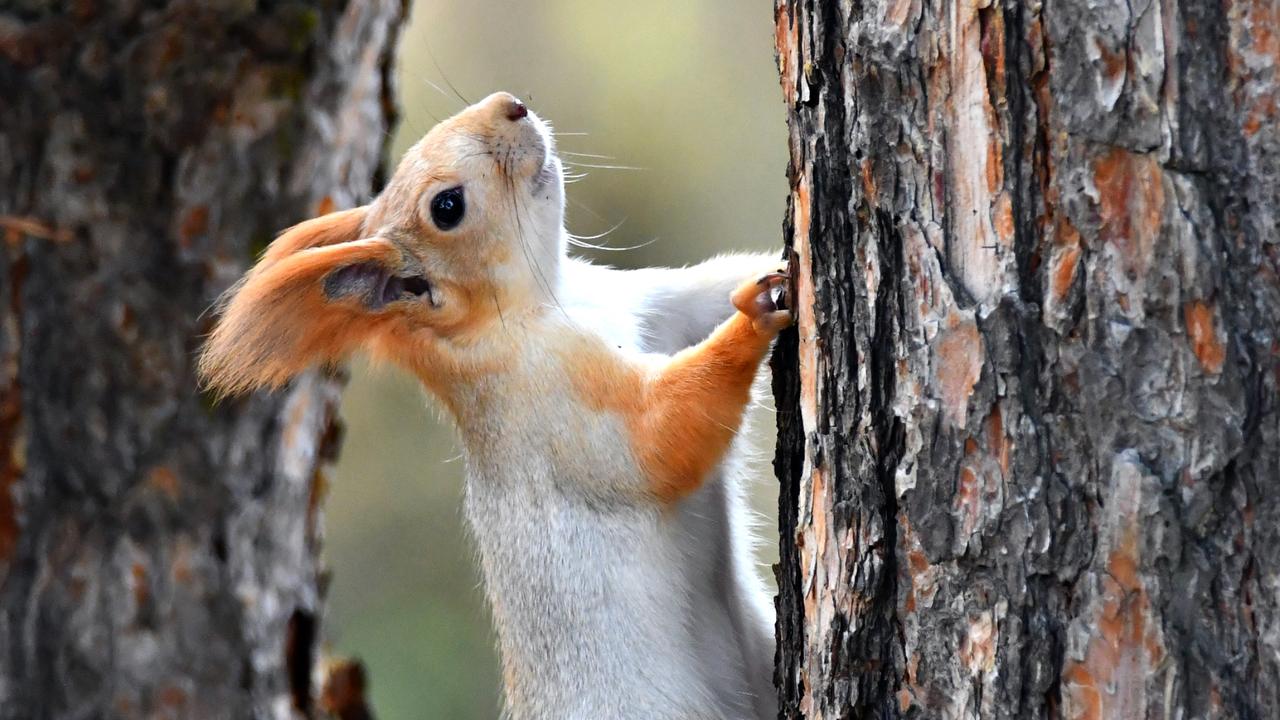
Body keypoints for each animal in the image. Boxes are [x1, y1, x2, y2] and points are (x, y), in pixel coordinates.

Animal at [199, 92, 790, 720]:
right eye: (447, 207)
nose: (511, 105)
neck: (552, 302)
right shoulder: (557, 408)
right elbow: (662, 438)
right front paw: (755, 320)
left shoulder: (649, 303)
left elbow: (706, 295)